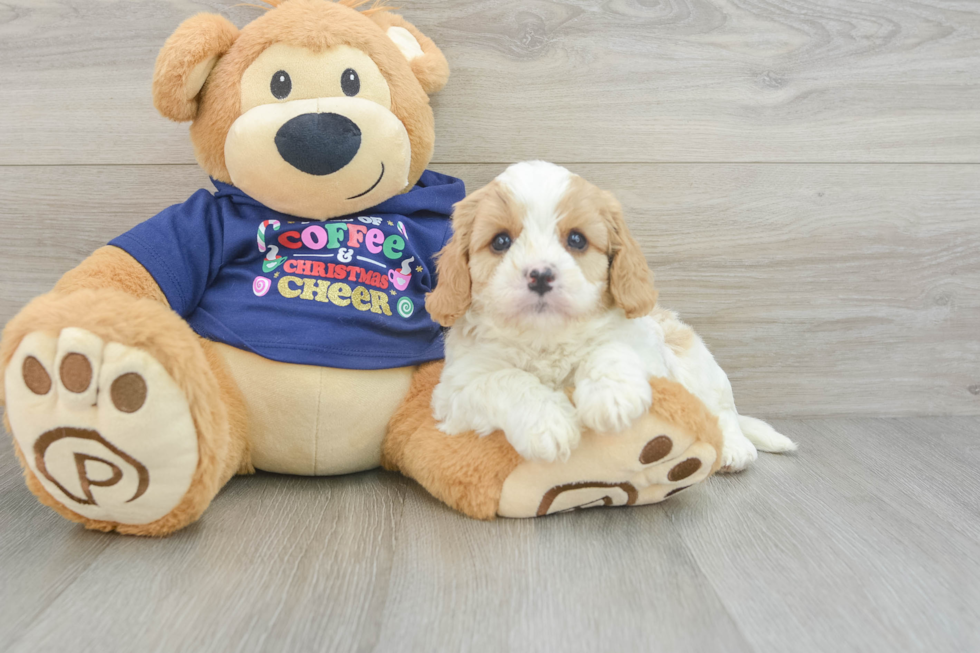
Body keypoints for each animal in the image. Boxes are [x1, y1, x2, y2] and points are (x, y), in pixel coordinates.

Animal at [424, 162, 792, 468]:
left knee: (721, 407)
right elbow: (506, 380)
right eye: (500, 241)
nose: (540, 275)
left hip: (697, 361)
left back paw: (735, 447)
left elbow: (612, 349)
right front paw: (547, 424)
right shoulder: (457, 388)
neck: (545, 336)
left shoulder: (646, 352)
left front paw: (612, 398)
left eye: (576, 239)